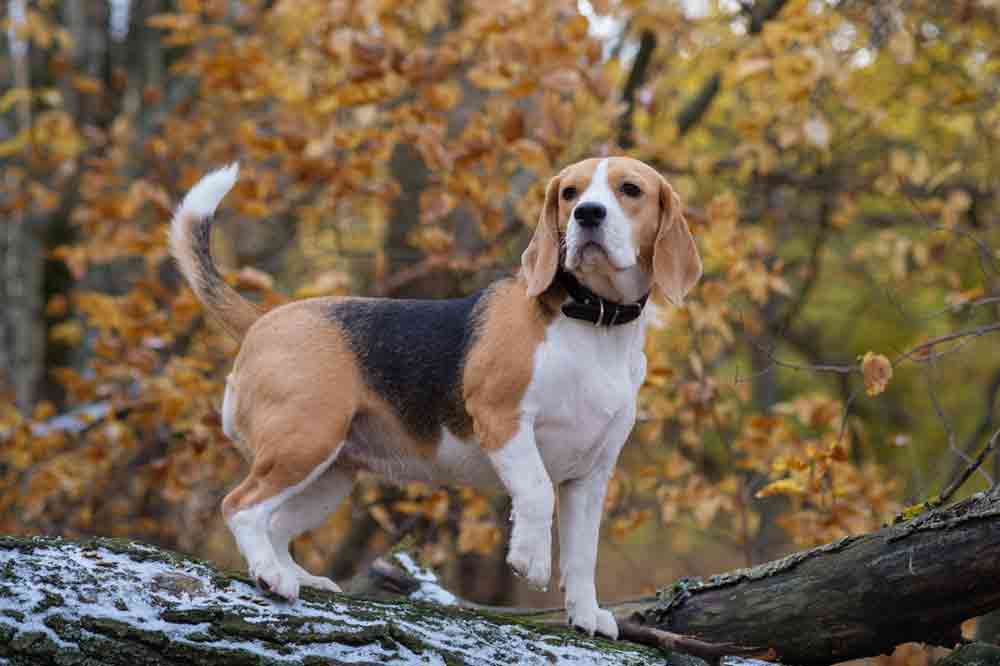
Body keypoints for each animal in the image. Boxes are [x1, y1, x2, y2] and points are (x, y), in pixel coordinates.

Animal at [170, 156, 704, 640]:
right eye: (569, 193)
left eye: (630, 189)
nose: (587, 214)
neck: (592, 322)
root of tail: (263, 320)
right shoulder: (501, 418)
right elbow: (534, 490)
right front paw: (529, 559)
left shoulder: (590, 476)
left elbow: (581, 555)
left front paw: (586, 615)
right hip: (303, 442)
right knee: (240, 506)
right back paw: (271, 574)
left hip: (328, 475)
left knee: (276, 522)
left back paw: (295, 573)